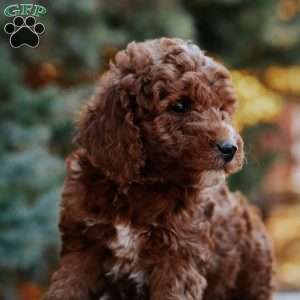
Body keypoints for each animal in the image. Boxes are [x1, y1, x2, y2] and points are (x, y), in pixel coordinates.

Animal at [46, 38, 274, 300]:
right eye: (180, 105)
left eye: (222, 109)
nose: (230, 148)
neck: (140, 186)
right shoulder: (82, 247)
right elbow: (66, 288)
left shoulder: (179, 256)